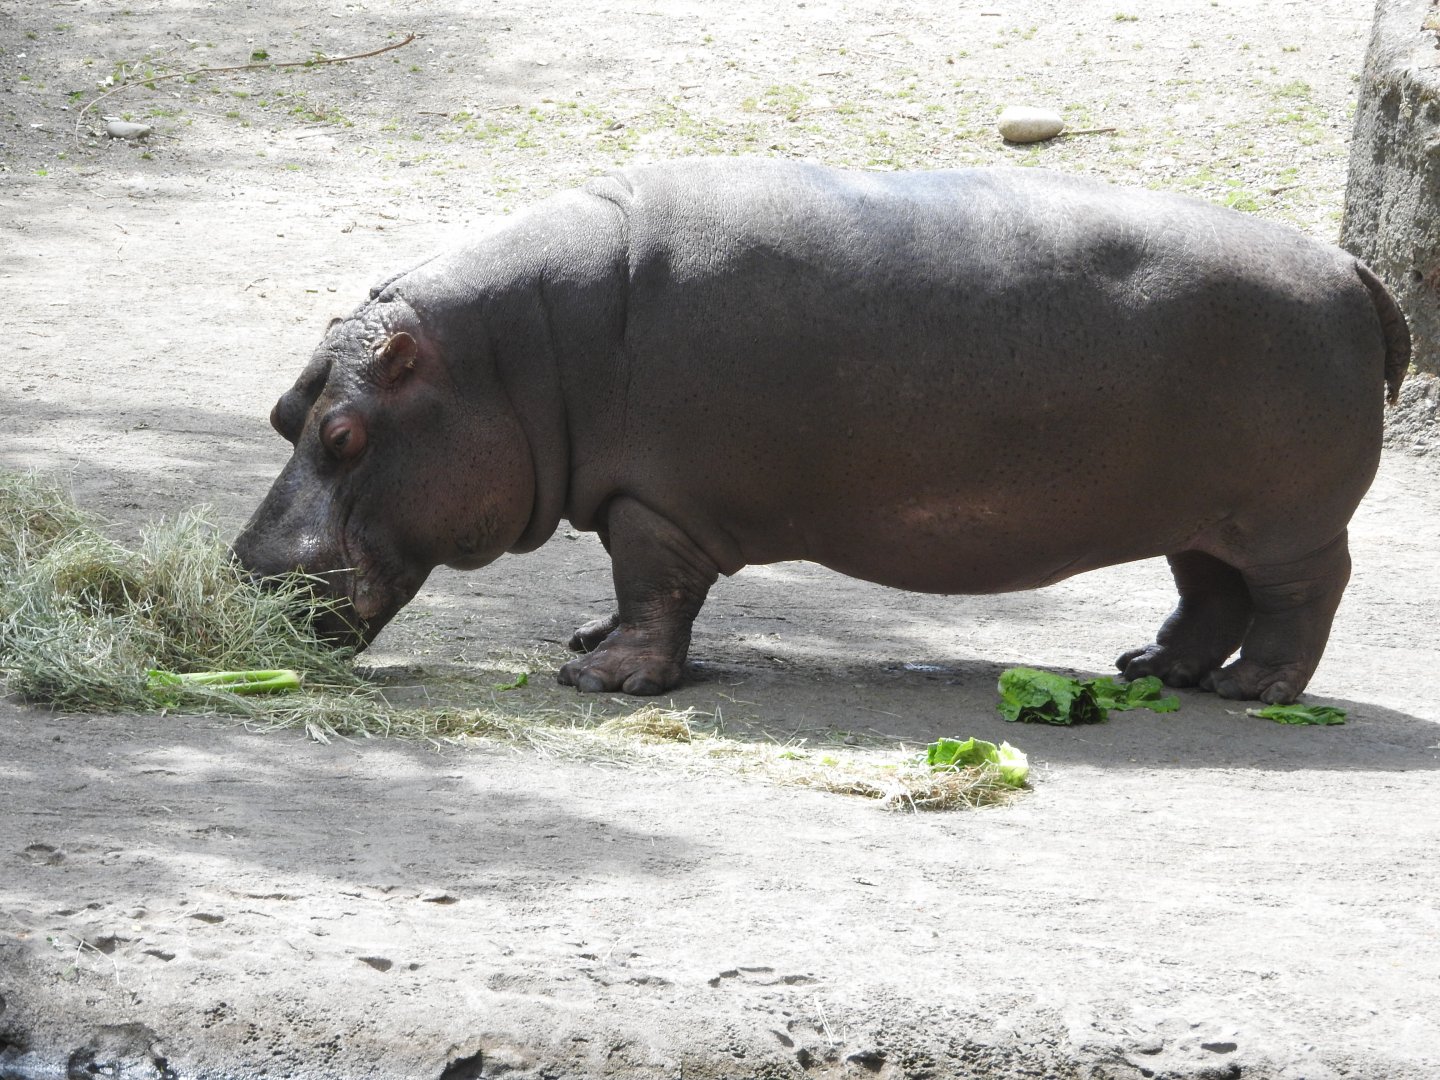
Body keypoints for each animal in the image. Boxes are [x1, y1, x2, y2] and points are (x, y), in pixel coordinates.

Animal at [233, 158, 1409, 704]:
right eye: (285, 412)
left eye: (343, 435)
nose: (246, 570)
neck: (510, 359)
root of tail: (1357, 269)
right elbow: (634, 595)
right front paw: (585, 643)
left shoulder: (653, 504)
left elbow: (652, 591)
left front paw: (604, 679)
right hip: (1198, 511)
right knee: (1208, 592)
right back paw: (1149, 670)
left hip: (1288, 521)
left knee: (1303, 597)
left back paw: (1256, 691)